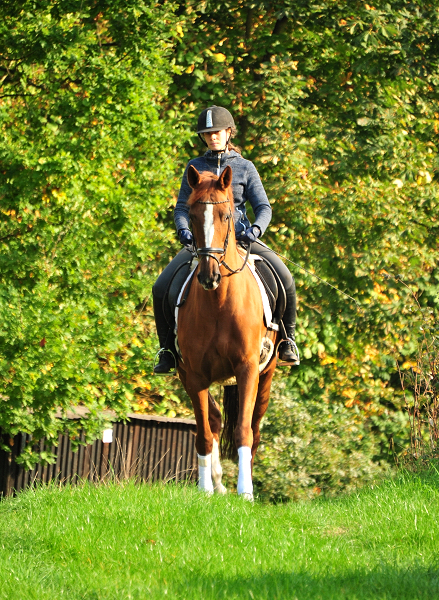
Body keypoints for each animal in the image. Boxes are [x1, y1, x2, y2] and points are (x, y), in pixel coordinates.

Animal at [174, 162, 278, 500]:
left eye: (226, 216)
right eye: (192, 215)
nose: (209, 275)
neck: (218, 303)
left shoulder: (247, 369)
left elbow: (243, 430)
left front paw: (246, 491)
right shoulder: (193, 374)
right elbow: (205, 432)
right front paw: (205, 488)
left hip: (266, 374)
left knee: (254, 429)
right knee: (216, 421)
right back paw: (218, 483)